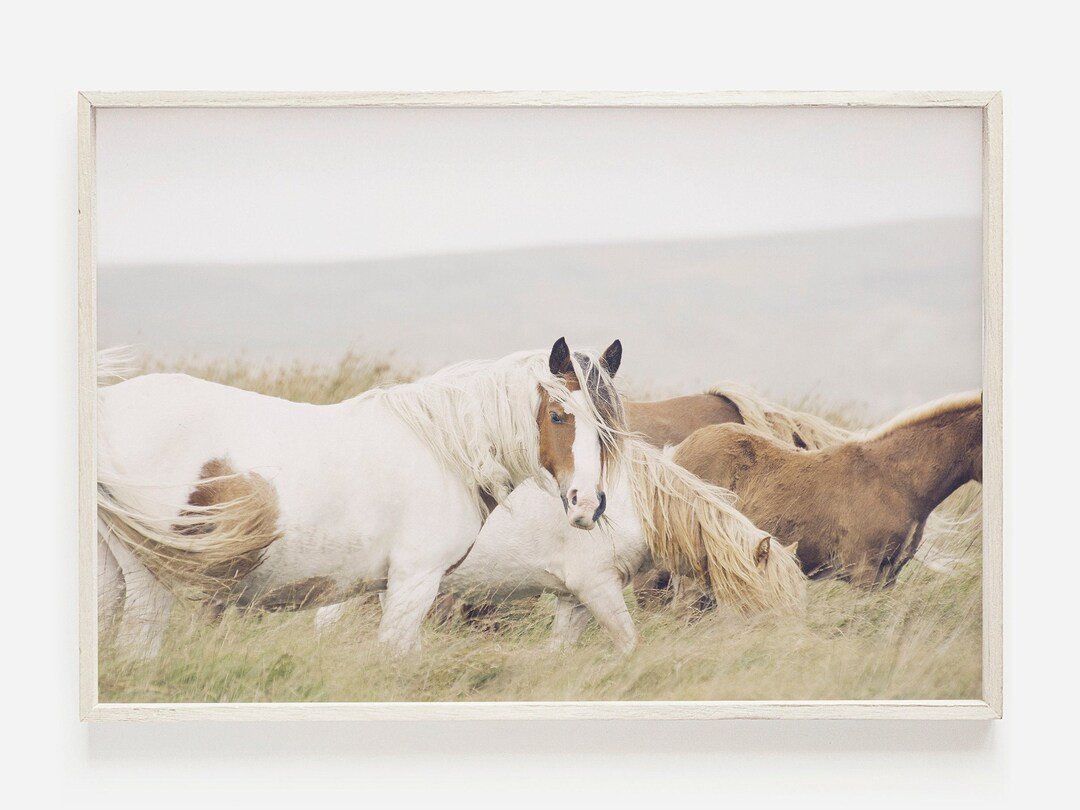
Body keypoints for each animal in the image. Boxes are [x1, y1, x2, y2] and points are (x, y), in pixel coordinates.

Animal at [96, 337, 627, 657]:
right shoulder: (415, 581)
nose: (586, 504)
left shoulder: (392, 586)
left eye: (608, 424)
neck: (444, 447)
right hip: (151, 578)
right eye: (558, 416)